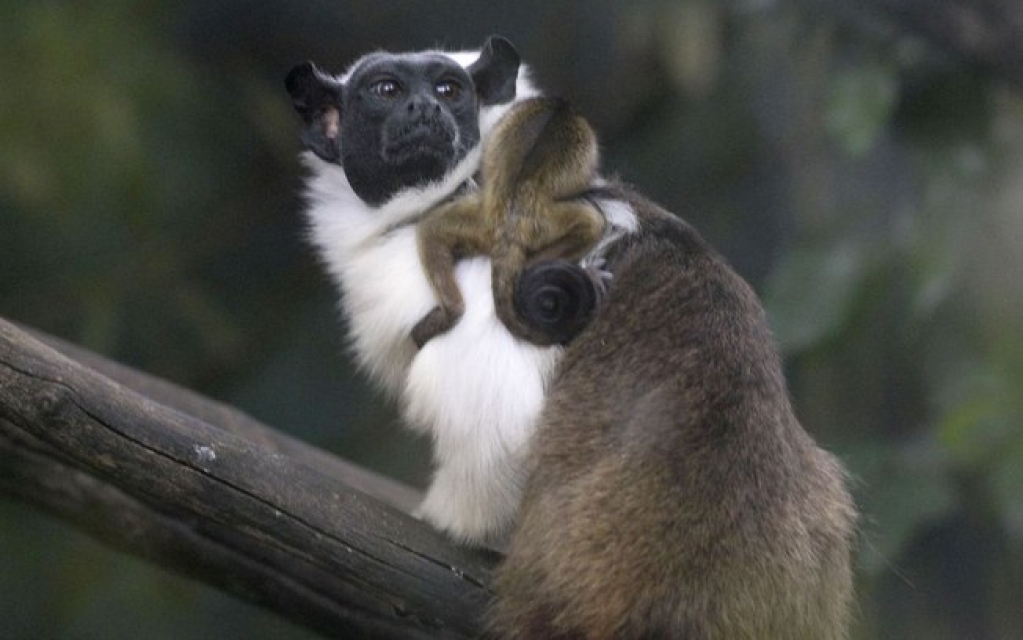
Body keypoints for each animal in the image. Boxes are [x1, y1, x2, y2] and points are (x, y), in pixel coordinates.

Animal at [415, 95, 605, 345]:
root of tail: (509, 226)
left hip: (486, 223)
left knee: (430, 230)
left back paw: (452, 310)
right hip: (537, 223)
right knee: (593, 224)